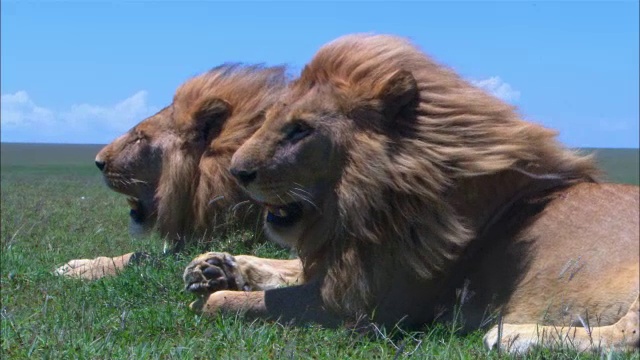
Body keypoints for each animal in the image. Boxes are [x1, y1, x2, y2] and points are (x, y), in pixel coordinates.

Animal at [56, 63, 286, 280]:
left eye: (140, 137)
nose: (98, 162)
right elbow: (136, 254)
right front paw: (79, 264)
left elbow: (141, 257)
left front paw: (81, 270)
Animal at [182, 34, 636, 354]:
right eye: (271, 118)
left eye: (300, 130)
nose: (238, 172)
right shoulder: (342, 266)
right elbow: (282, 265)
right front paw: (213, 266)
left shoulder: (360, 311)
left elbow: (229, 304)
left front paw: (212, 293)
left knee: (626, 337)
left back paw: (512, 336)